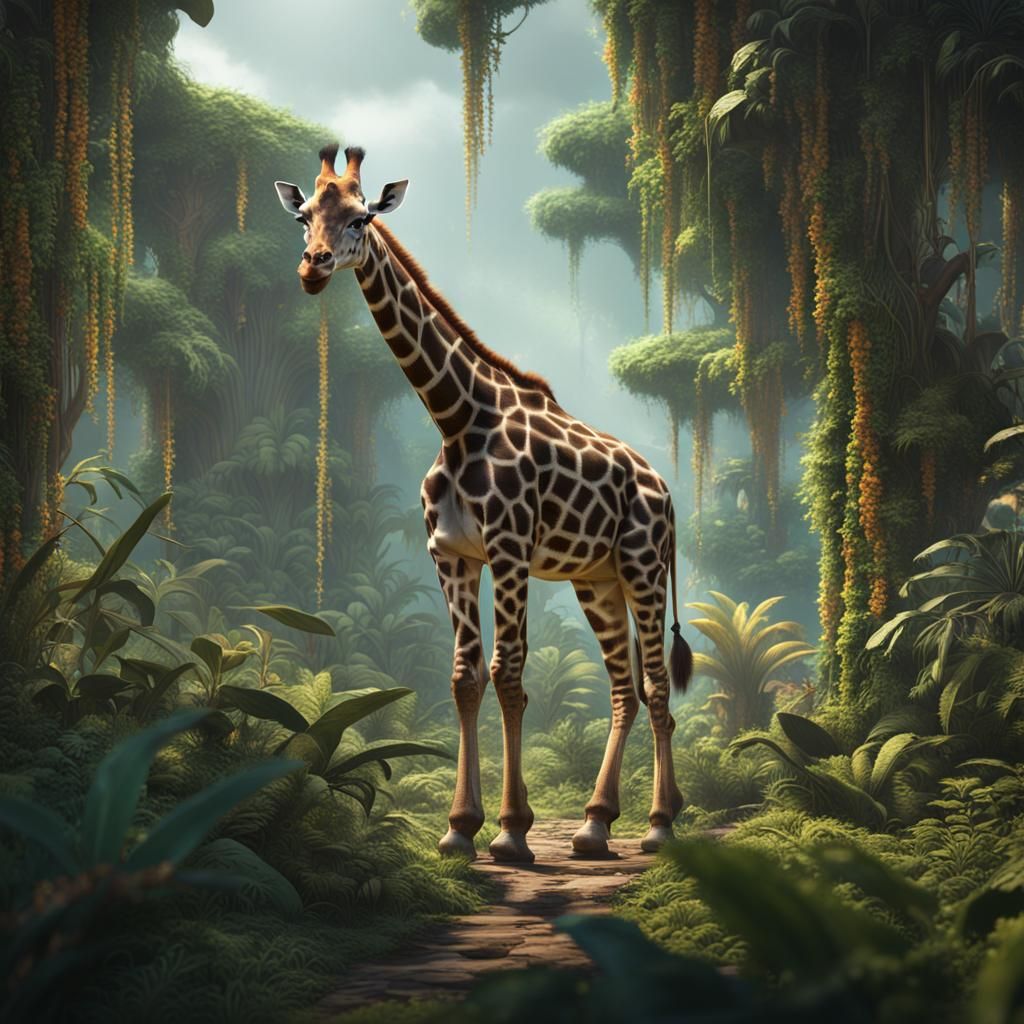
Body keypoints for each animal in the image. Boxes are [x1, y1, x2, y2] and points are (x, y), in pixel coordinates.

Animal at [274, 144, 693, 861]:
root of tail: (666, 494)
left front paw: (511, 832)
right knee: (623, 687)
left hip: (642, 567)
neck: (457, 417)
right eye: (304, 216)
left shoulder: (511, 551)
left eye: (361, 216)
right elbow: (466, 676)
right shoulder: (451, 555)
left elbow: (510, 676)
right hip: (596, 578)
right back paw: (594, 824)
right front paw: (458, 830)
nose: (313, 267)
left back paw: (660, 825)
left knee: (657, 685)